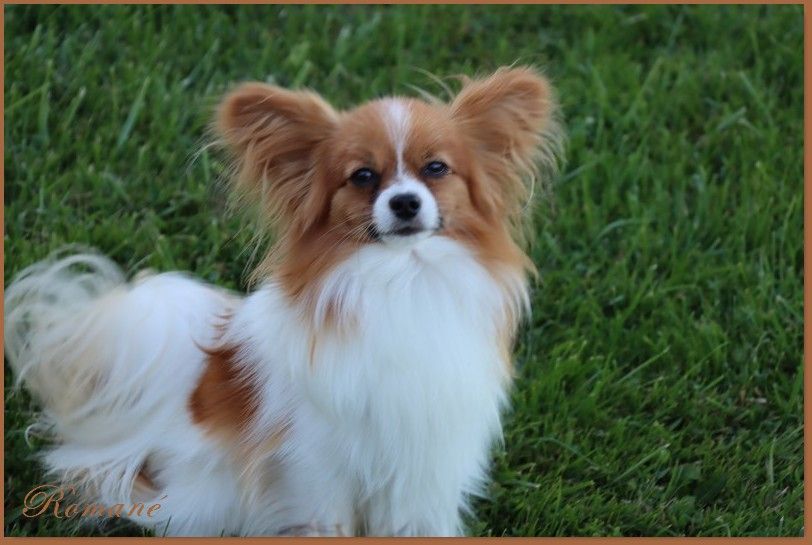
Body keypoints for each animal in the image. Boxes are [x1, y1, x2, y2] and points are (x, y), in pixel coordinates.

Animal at [6, 67, 560, 536]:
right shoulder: (318, 461)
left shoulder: (423, 460)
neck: (403, 278)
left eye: (437, 169)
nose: (405, 202)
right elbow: (326, 518)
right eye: (363, 176)